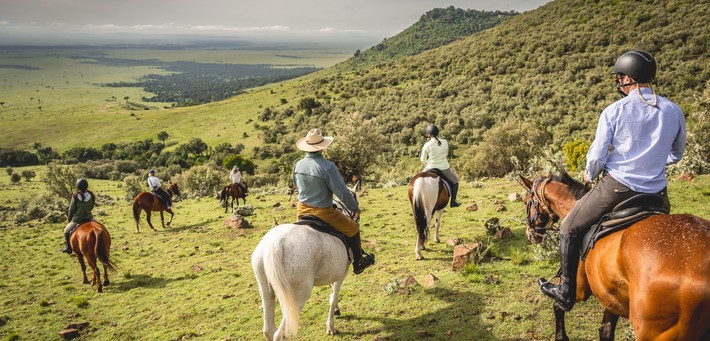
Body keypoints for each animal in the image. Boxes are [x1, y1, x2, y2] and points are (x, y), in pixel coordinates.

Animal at [252, 183, 362, 340]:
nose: (357, 215)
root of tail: (275, 243)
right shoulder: (340, 276)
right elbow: (334, 296)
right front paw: (331, 326)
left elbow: (332, 294)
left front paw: (336, 310)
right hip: (298, 296)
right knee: (279, 334)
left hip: (267, 291)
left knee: (268, 330)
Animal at [516, 173, 710, 340]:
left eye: (526, 202)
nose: (530, 234)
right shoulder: (612, 296)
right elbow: (606, 331)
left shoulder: (578, 289)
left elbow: (558, 305)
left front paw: (561, 337)